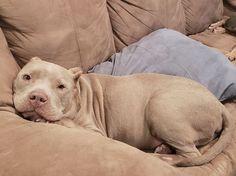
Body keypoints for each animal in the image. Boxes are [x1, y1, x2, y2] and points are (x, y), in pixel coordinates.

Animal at [13, 57, 234, 166]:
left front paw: (47, 120)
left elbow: (65, 122)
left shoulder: (95, 132)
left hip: (161, 105)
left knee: (192, 155)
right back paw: (164, 150)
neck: (79, 93)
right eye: (26, 77)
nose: (38, 97)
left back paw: (165, 159)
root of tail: (219, 105)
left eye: (61, 87)